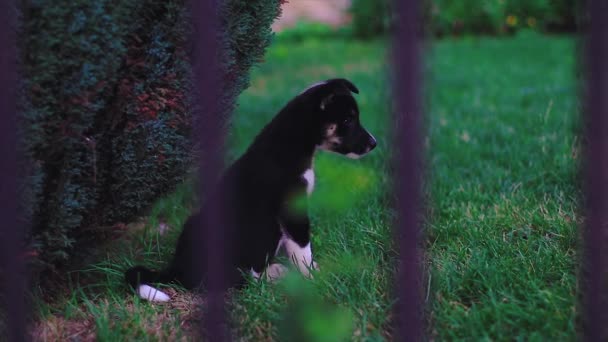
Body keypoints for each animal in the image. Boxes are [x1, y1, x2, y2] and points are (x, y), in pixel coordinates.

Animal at [126, 78, 378, 302]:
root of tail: (176, 270)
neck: (292, 143)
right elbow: (302, 248)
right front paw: (310, 278)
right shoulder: (291, 211)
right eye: (347, 119)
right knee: (240, 281)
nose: (374, 144)